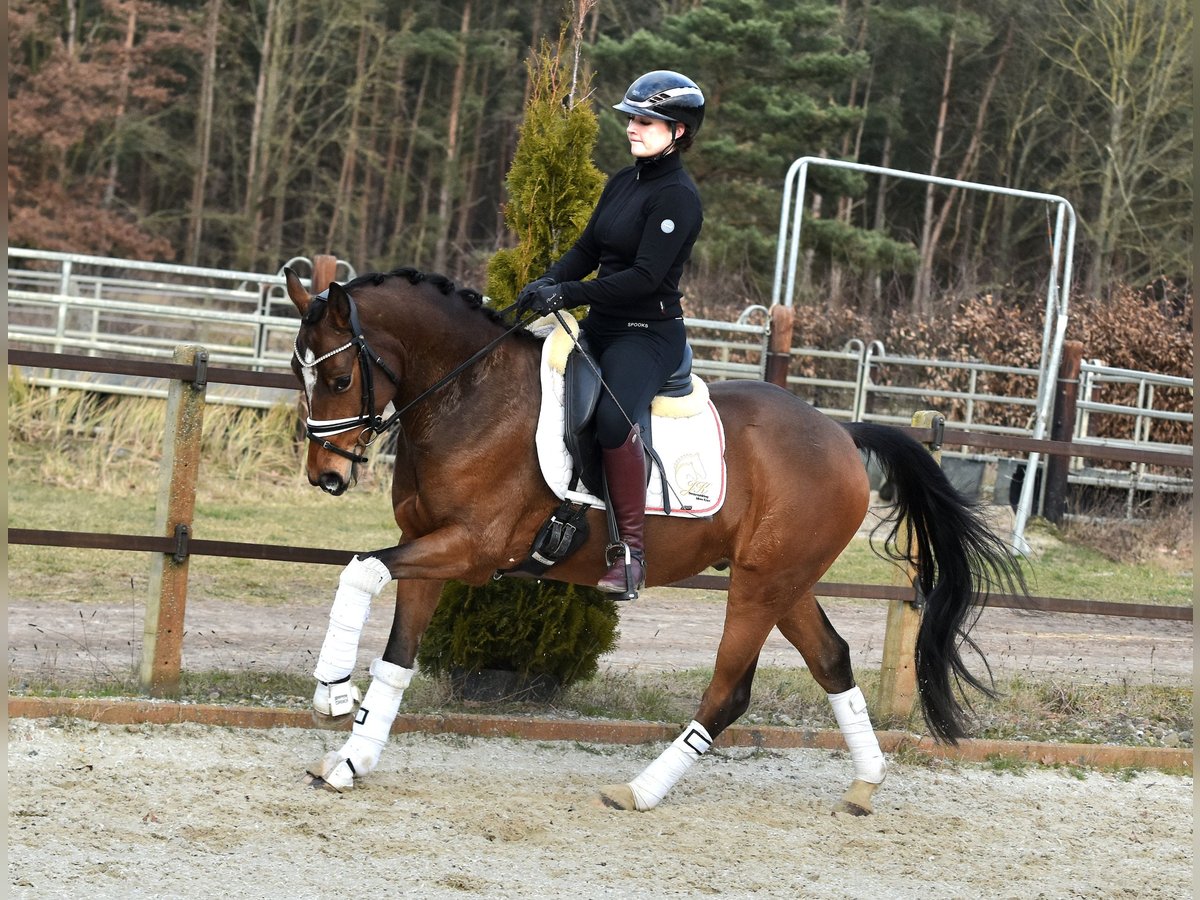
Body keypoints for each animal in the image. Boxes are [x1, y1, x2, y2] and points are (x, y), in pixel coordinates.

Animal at [285, 266, 1027, 816]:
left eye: (339, 377)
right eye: (300, 374)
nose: (325, 476)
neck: (468, 394)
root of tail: (842, 433)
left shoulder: (471, 548)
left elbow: (358, 571)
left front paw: (332, 693)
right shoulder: (428, 545)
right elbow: (397, 657)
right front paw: (350, 760)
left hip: (760, 585)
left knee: (729, 692)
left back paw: (639, 790)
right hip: (786, 580)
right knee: (832, 659)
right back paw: (866, 784)